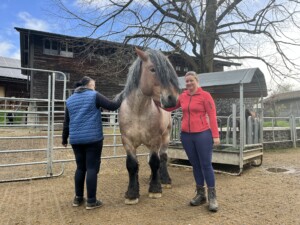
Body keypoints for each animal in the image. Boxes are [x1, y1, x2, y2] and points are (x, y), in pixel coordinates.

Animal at [117, 48, 179, 206]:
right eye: (152, 69)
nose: (172, 99)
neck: (138, 111)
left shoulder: (155, 139)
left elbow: (155, 162)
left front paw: (155, 189)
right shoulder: (127, 141)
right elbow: (132, 165)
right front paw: (132, 193)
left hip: (166, 136)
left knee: (162, 157)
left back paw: (165, 180)